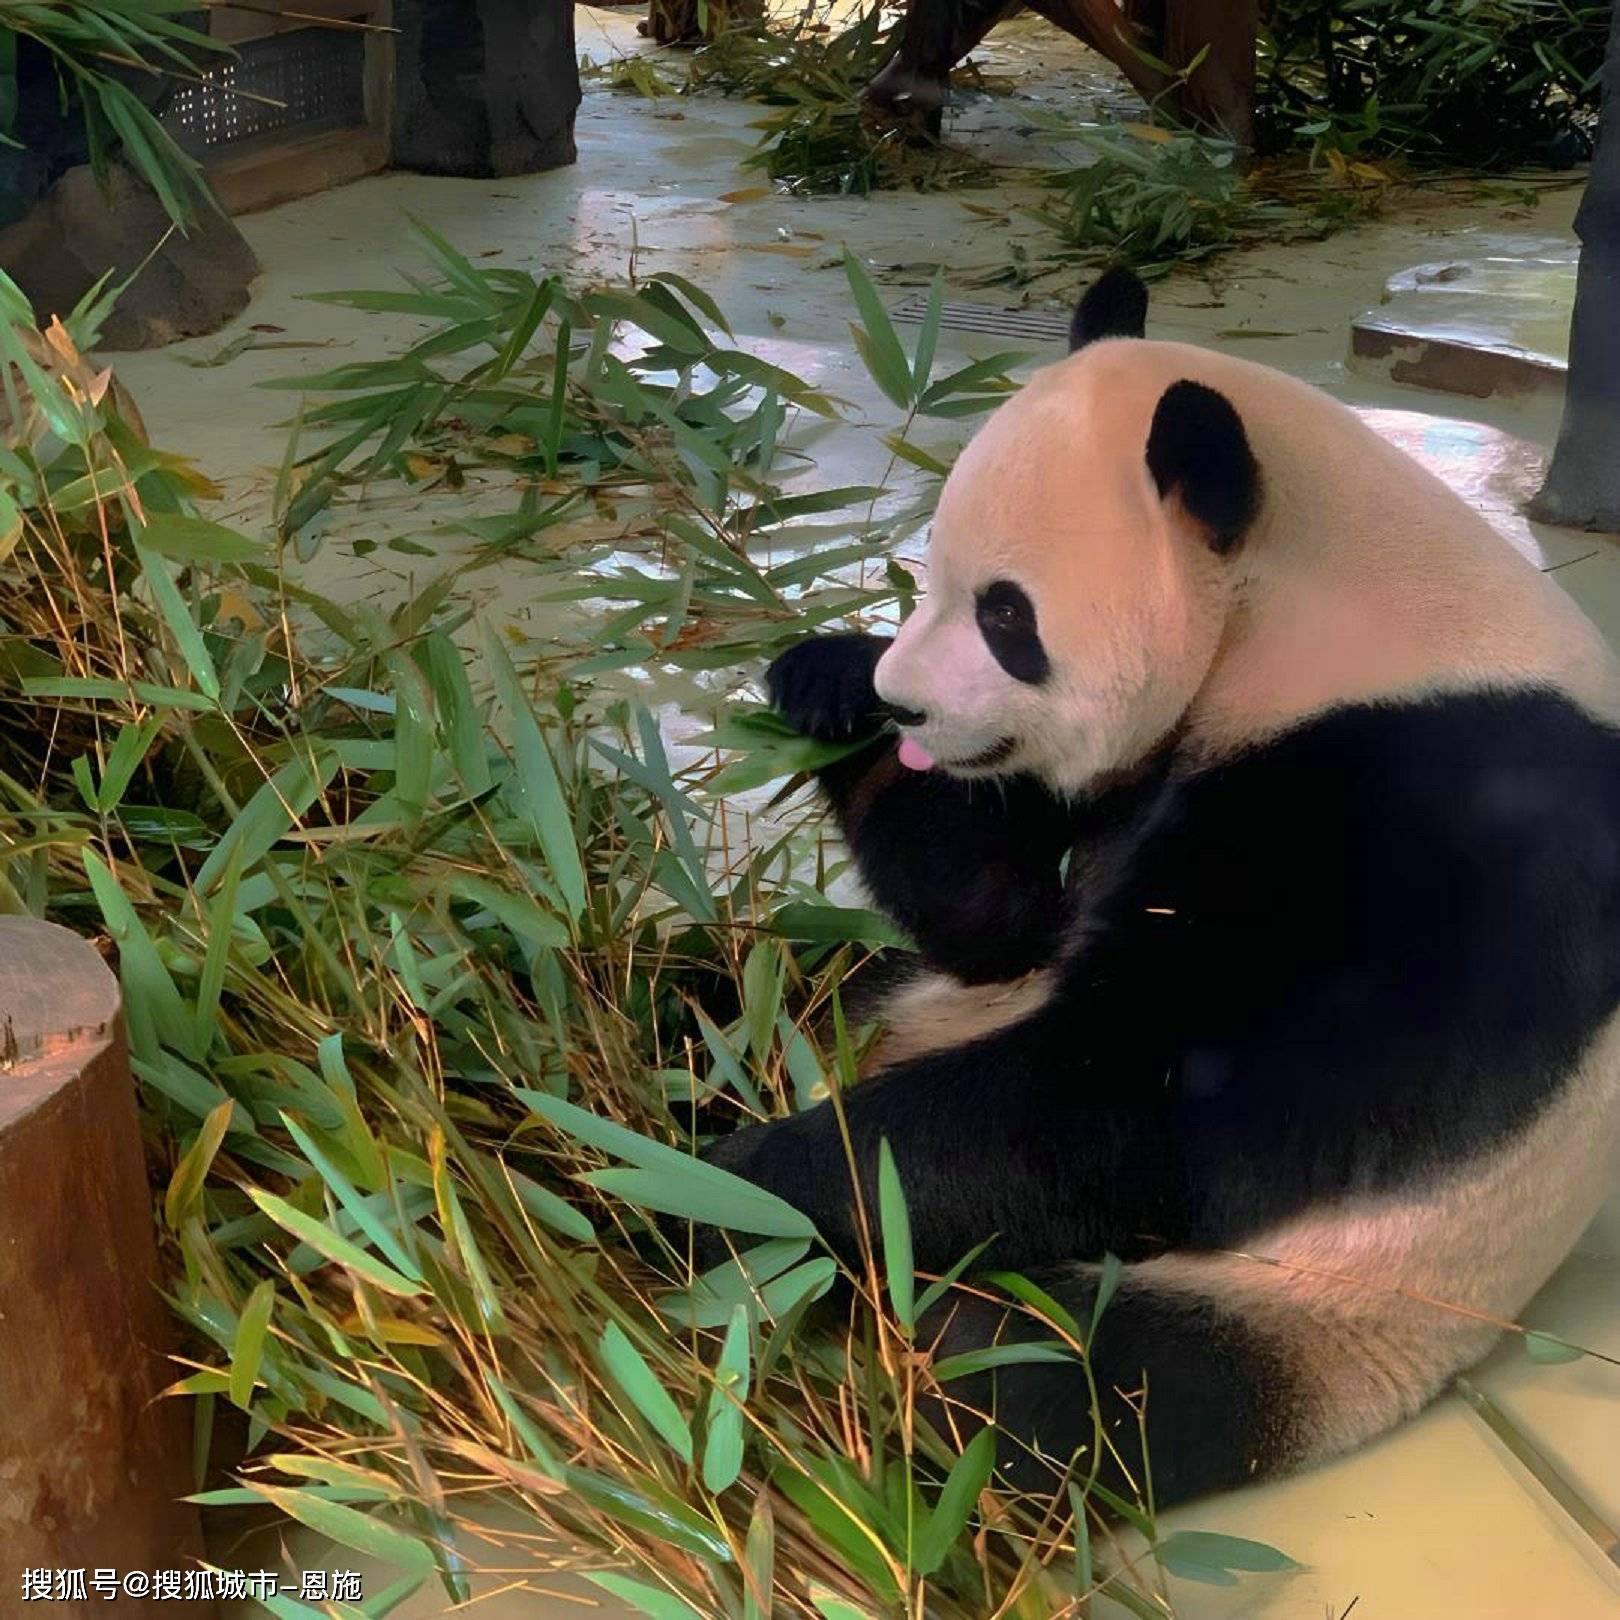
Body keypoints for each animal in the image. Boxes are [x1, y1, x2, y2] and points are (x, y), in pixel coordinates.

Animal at [703, 262, 1620, 1503]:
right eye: (934, 576)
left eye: (1007, 615)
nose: (906, 702)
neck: (1312, 609)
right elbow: (1000, 922)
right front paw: (825, 681)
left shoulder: (1435, 815)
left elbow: (1163, 1102)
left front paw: (739, 1181)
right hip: (874, 997)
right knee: (736, 984)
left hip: (1329, 1308)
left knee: (1044, 1386)